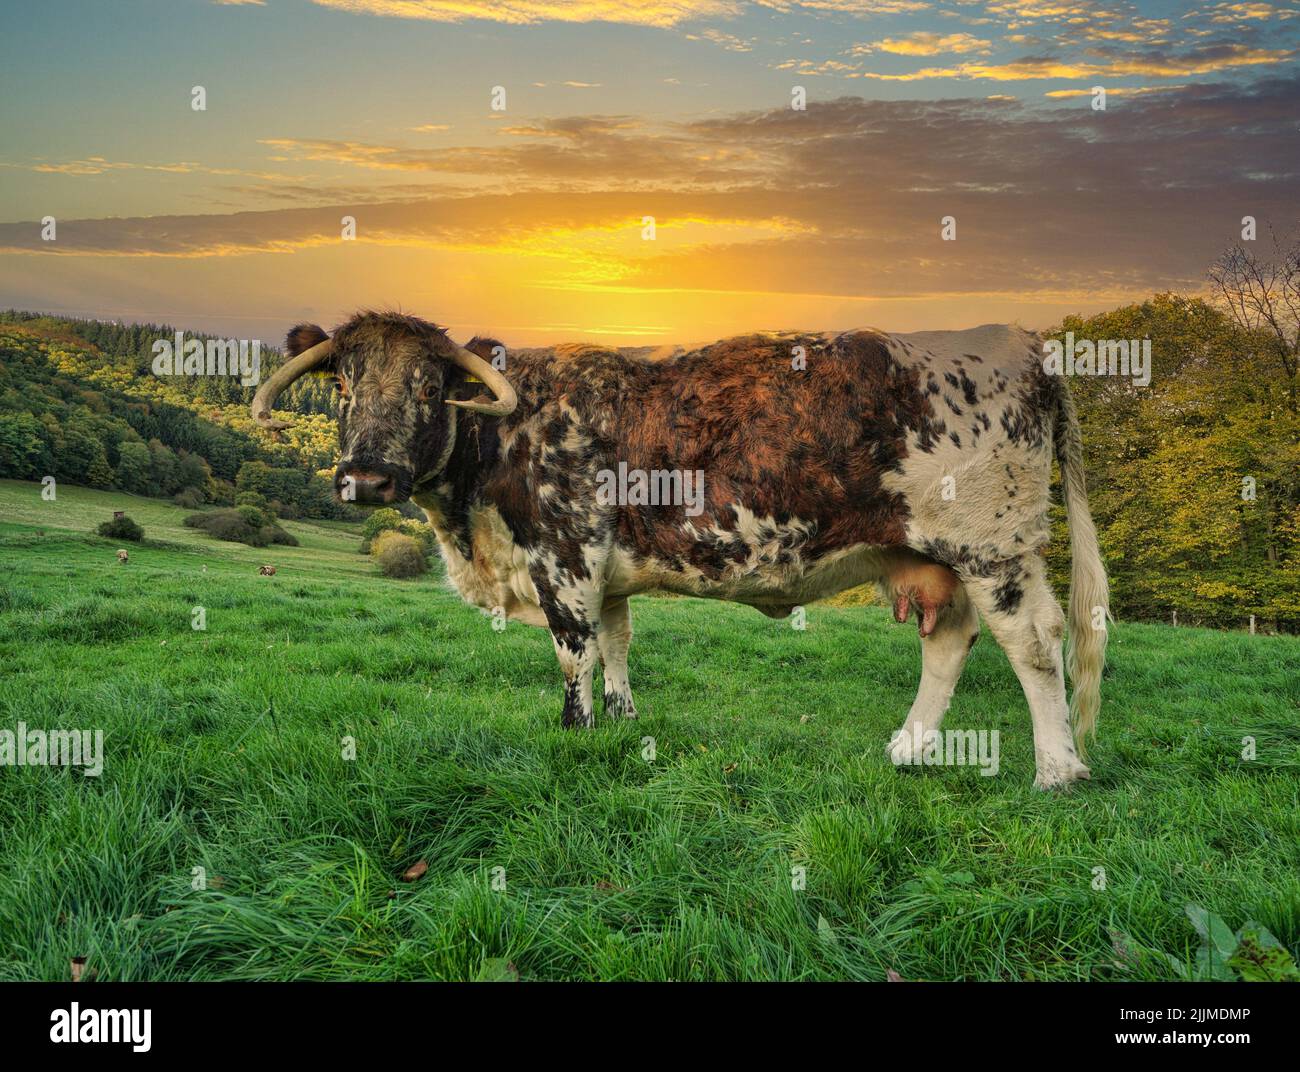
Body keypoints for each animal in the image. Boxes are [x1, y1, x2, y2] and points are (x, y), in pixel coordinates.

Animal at [251, 312, 1108, 788]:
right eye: (341, 388)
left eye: (430, 388)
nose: (366, 476)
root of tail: (1019, 342)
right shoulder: (606, 573)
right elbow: (617, 641)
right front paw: (623, 719)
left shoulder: (564, 555)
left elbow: (573, 651)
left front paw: (576, 732)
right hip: (933, 555)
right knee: (952, 639)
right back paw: (910, 747)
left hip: (993, 545)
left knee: (1033, 642)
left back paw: (1058, 770)